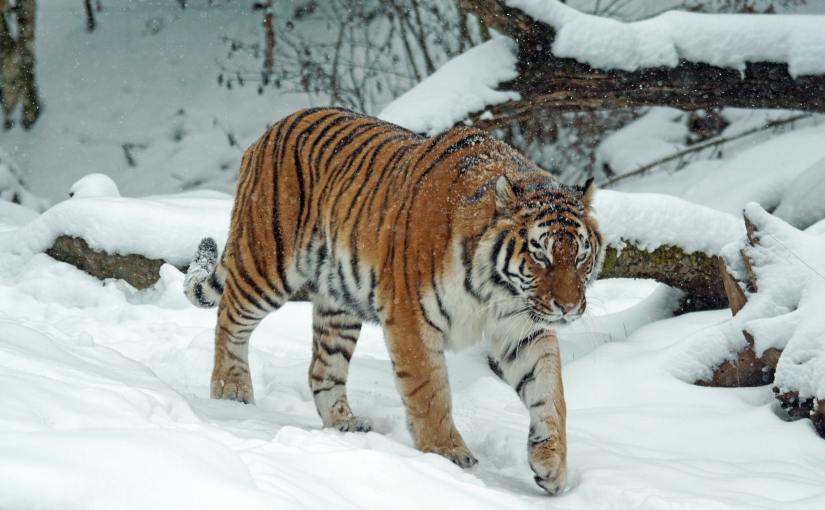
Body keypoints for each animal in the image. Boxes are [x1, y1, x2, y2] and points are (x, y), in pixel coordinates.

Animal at [183, 107, 604, 495]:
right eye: (540, 255)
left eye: (581, 256)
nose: (569, 308)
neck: (497, 290)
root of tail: (271, 130)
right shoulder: (411, 319)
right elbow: (430, 392)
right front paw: (447, 454)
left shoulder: (523, 328)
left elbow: (550, 392)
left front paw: (551, 465)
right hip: (267, 262)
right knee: (229, 320)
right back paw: (230, 392)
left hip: (338, 304)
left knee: (322, 368)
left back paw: (345, 424)